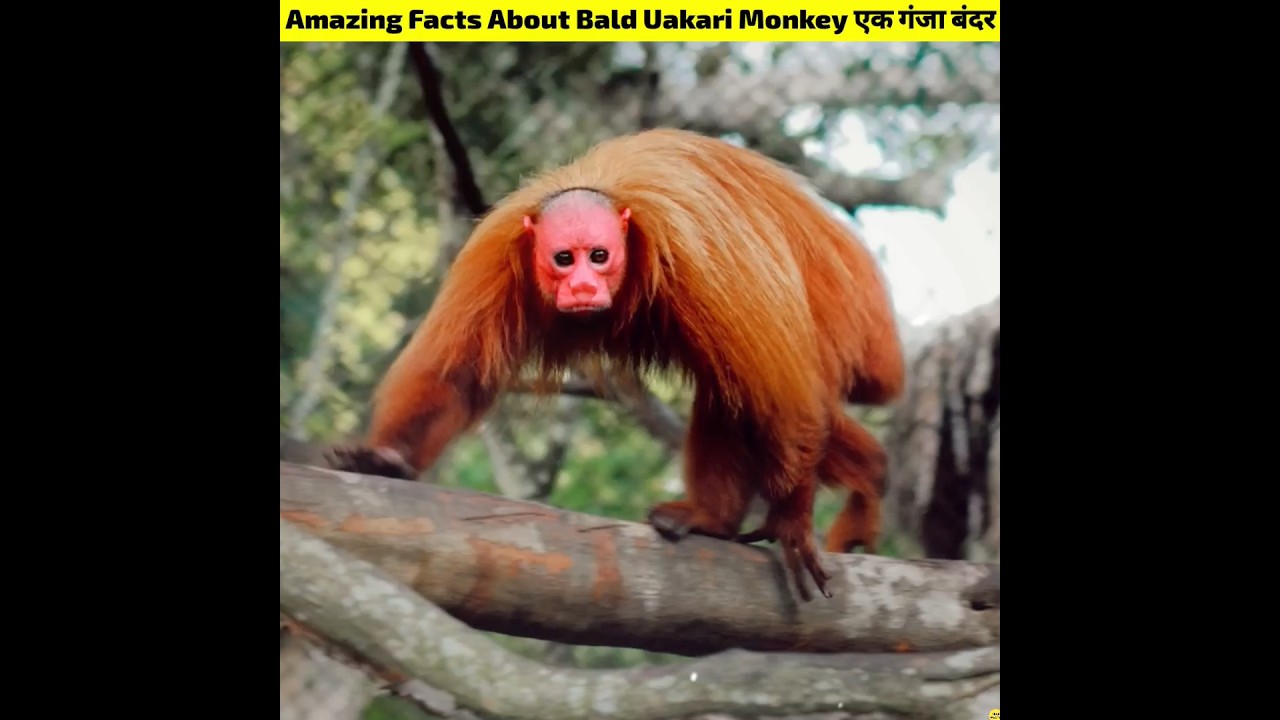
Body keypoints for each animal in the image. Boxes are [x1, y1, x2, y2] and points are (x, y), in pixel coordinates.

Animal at [327, 128, 905, 601]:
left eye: (598, 257)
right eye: (565, 259)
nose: (583, 285)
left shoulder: (705, 259)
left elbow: (784, 396)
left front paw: (791, 521)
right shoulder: (496, 255)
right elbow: (456, 376)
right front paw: (388, 458)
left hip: (841, 325)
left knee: (763, 385)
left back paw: (866, 476)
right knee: (729, 386)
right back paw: (723, 518)